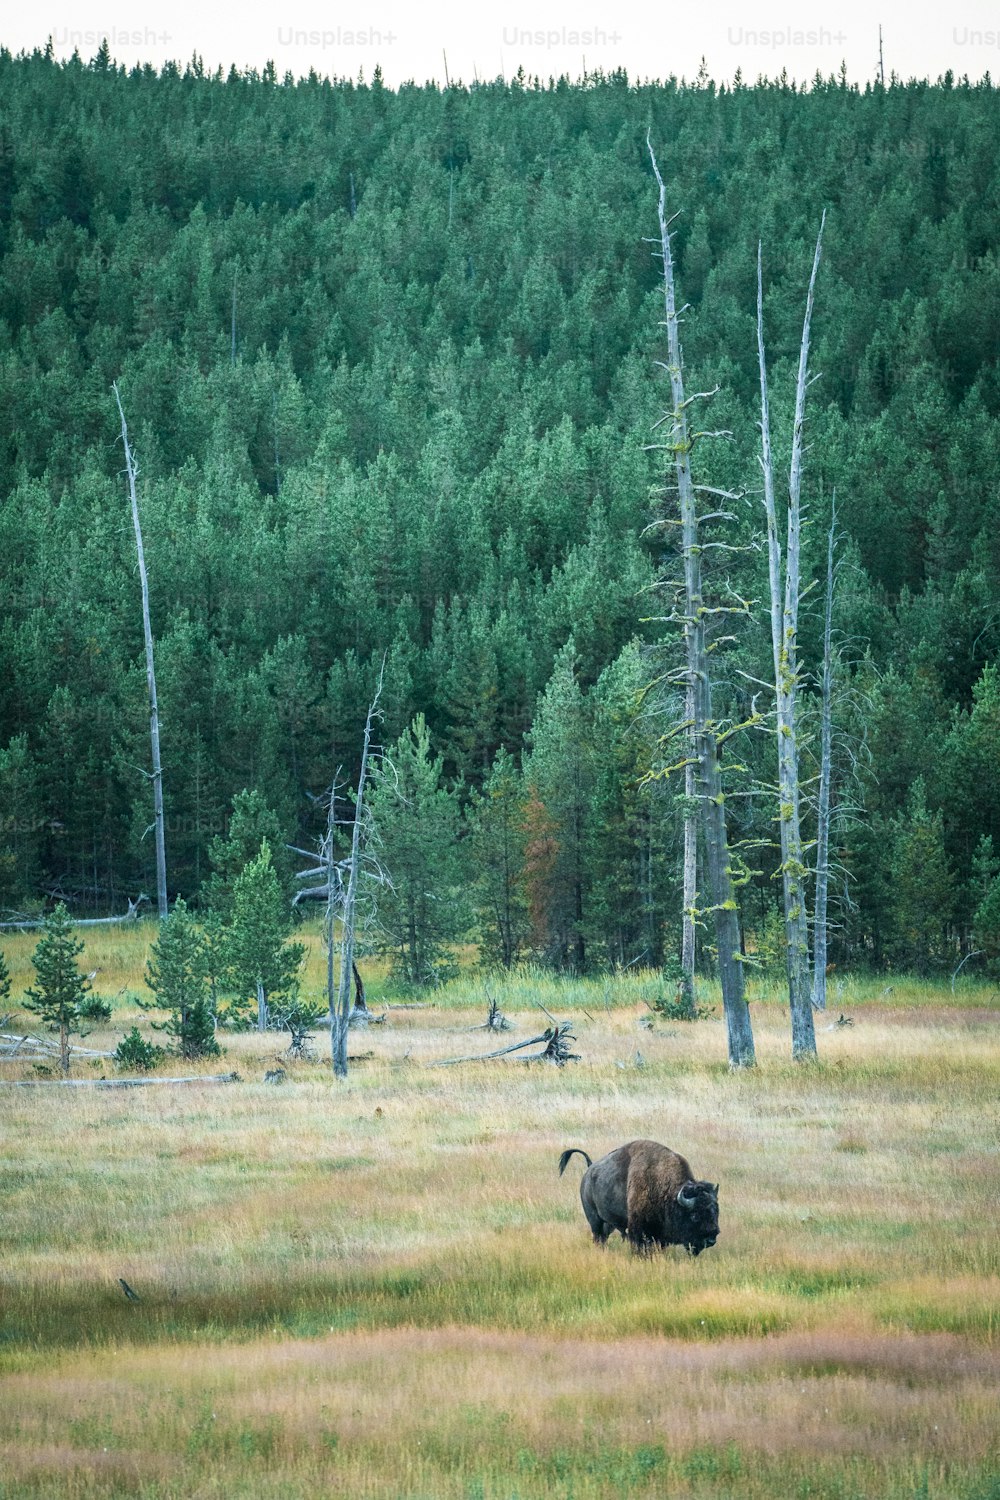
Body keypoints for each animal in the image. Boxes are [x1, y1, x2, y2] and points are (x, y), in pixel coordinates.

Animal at [563, 1134, 719, 1254]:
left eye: (716, 1212)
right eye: (694, 1215)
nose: (711, 1240)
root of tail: (589, 1169)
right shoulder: (638, 1229)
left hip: (609, 1222)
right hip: (594, 1219)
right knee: (598, 1236)